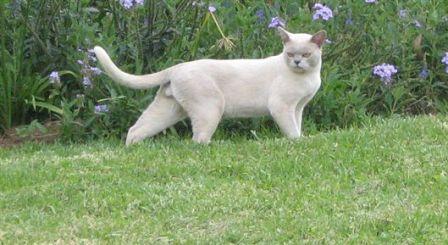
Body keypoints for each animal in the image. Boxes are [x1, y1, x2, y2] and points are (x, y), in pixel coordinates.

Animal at [95, 27, 326, 145]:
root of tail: (177, 67)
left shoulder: (298, 107)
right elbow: (292, 131)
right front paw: (298, 143)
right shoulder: (282, 106)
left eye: (306, 54)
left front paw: (302, 140)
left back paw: (134, 149)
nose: (297, 62)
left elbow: (298, 126)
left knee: (136, 129)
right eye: (290, 54)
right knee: (198, 140)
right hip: (211, 109)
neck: (308, 77)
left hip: (169, 110)